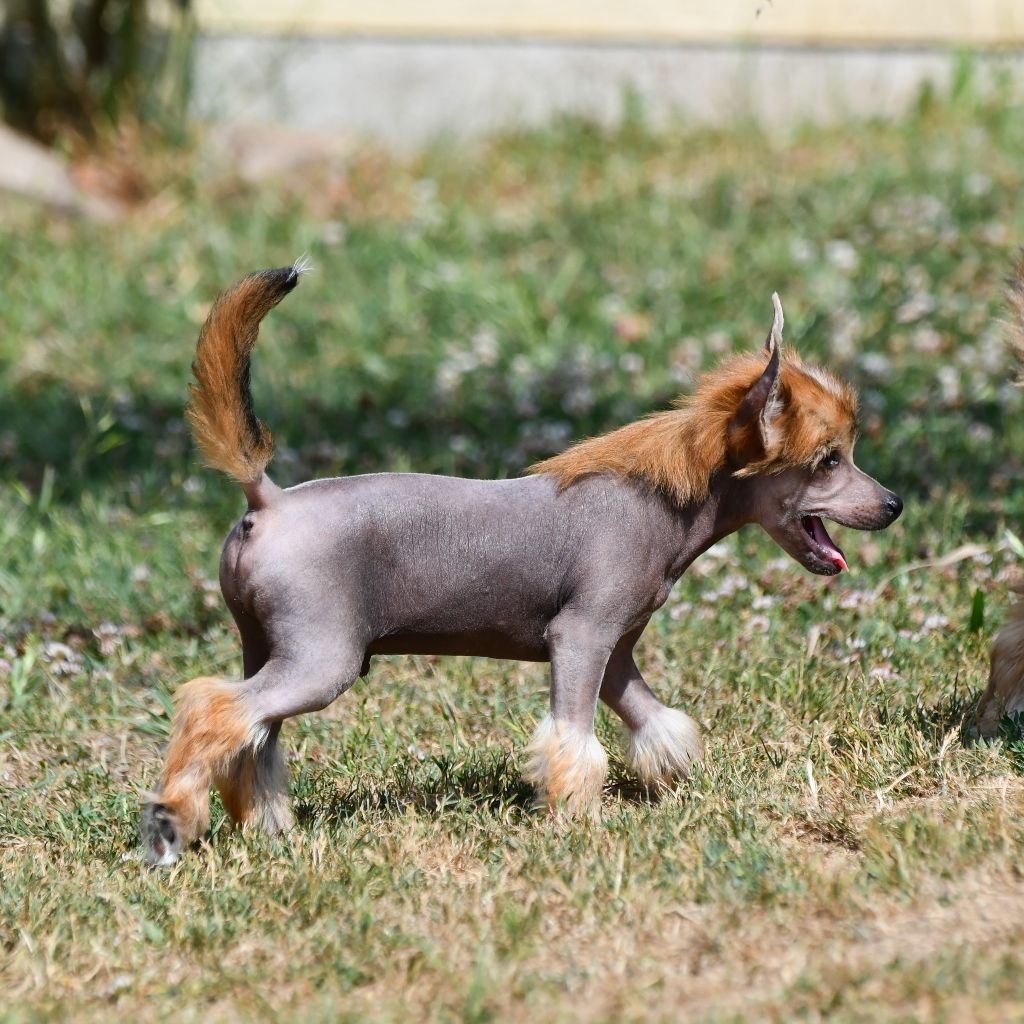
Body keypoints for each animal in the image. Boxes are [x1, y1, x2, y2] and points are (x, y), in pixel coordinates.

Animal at [140, 262, 901, 864]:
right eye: (829, 460)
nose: (893, 504)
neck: (661, 497)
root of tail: (266, 498)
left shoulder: (614, 653)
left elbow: (651, 719)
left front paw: (675, 780)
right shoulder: (581, 638)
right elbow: (573, 739)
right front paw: (577, 817)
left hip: (269, 648)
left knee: (253, 738)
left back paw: (271, 830)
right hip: (321, 659)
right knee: (212, 708)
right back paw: (171, 822)